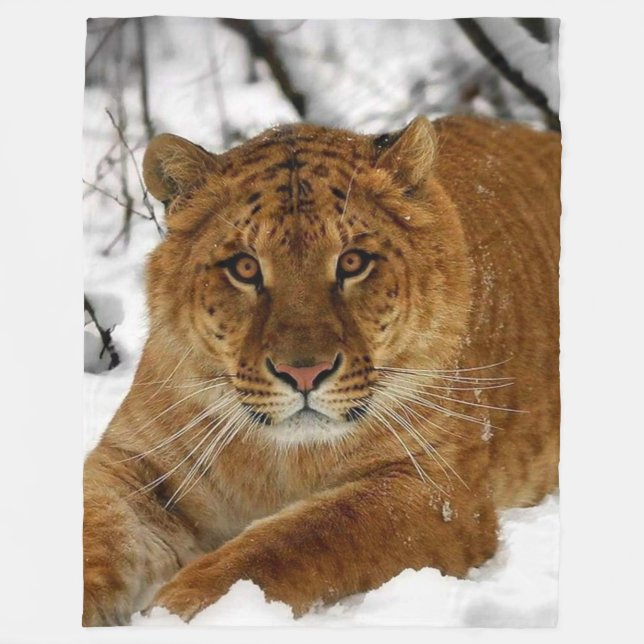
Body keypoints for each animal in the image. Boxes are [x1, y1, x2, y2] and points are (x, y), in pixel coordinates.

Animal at [82, 114, 560, 626]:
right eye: (245, 268)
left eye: (352, 262)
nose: (304, 374)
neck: (277, 460)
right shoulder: (135, 464)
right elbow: (98, 531)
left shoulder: (438, 488)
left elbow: (296, 540)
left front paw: (179, 611)